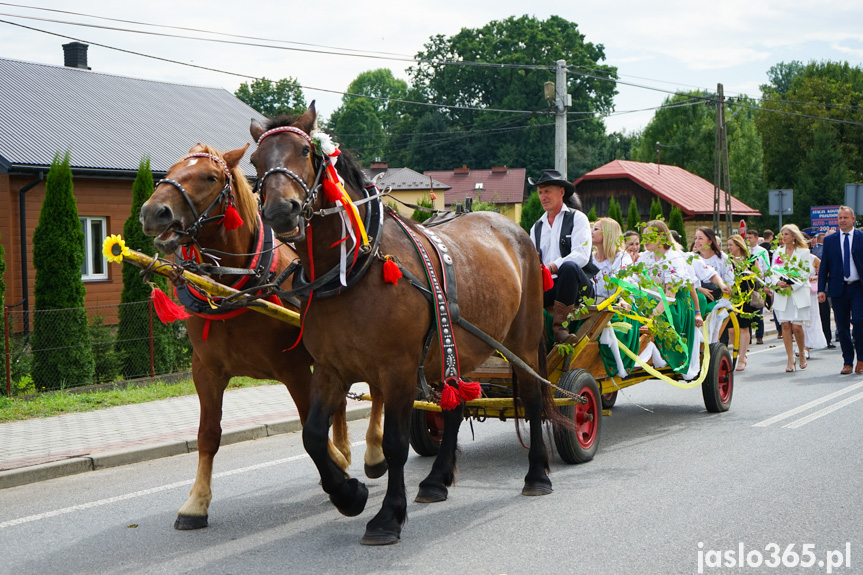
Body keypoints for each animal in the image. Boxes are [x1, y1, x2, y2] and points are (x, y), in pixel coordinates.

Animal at [142, 144, 384, 532]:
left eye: (210, 177)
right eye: (170, 170)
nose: (154, 211)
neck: (234, 285)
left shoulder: (294, 369)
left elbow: (309, 425)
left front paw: (337, 468)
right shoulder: (206, 372)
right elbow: (208, 435)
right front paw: (196, 503)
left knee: (377, 391)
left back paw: (373, 452)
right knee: (343, 403)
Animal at [251, 106, 560, 548]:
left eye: (306, 151)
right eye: (255, 162)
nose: (281, 210)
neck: (356, 268)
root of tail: (513, 229)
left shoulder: (396, 370)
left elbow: (395, 444)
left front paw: (387, 516)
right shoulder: (330, 369)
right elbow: (312, 435)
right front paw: (349, 494)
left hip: (523, 340)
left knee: (533, 399)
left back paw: (537, 473)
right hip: (455, 349)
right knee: (455, 404)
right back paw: (436, 480)